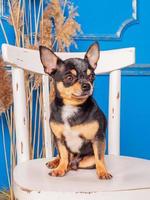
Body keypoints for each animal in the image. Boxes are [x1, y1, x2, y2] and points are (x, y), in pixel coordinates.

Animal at [39, 42, 112, 180]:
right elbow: (63, 154)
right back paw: (55, 163)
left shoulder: (98, 138)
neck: (71, 106)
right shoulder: (59, 139)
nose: (87, 85)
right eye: (69, 77)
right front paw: (60, 169)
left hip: (87, 160)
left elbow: (99, 157)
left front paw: (103, 172)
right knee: (64, 157)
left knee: (76, 163)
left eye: (92, 76)